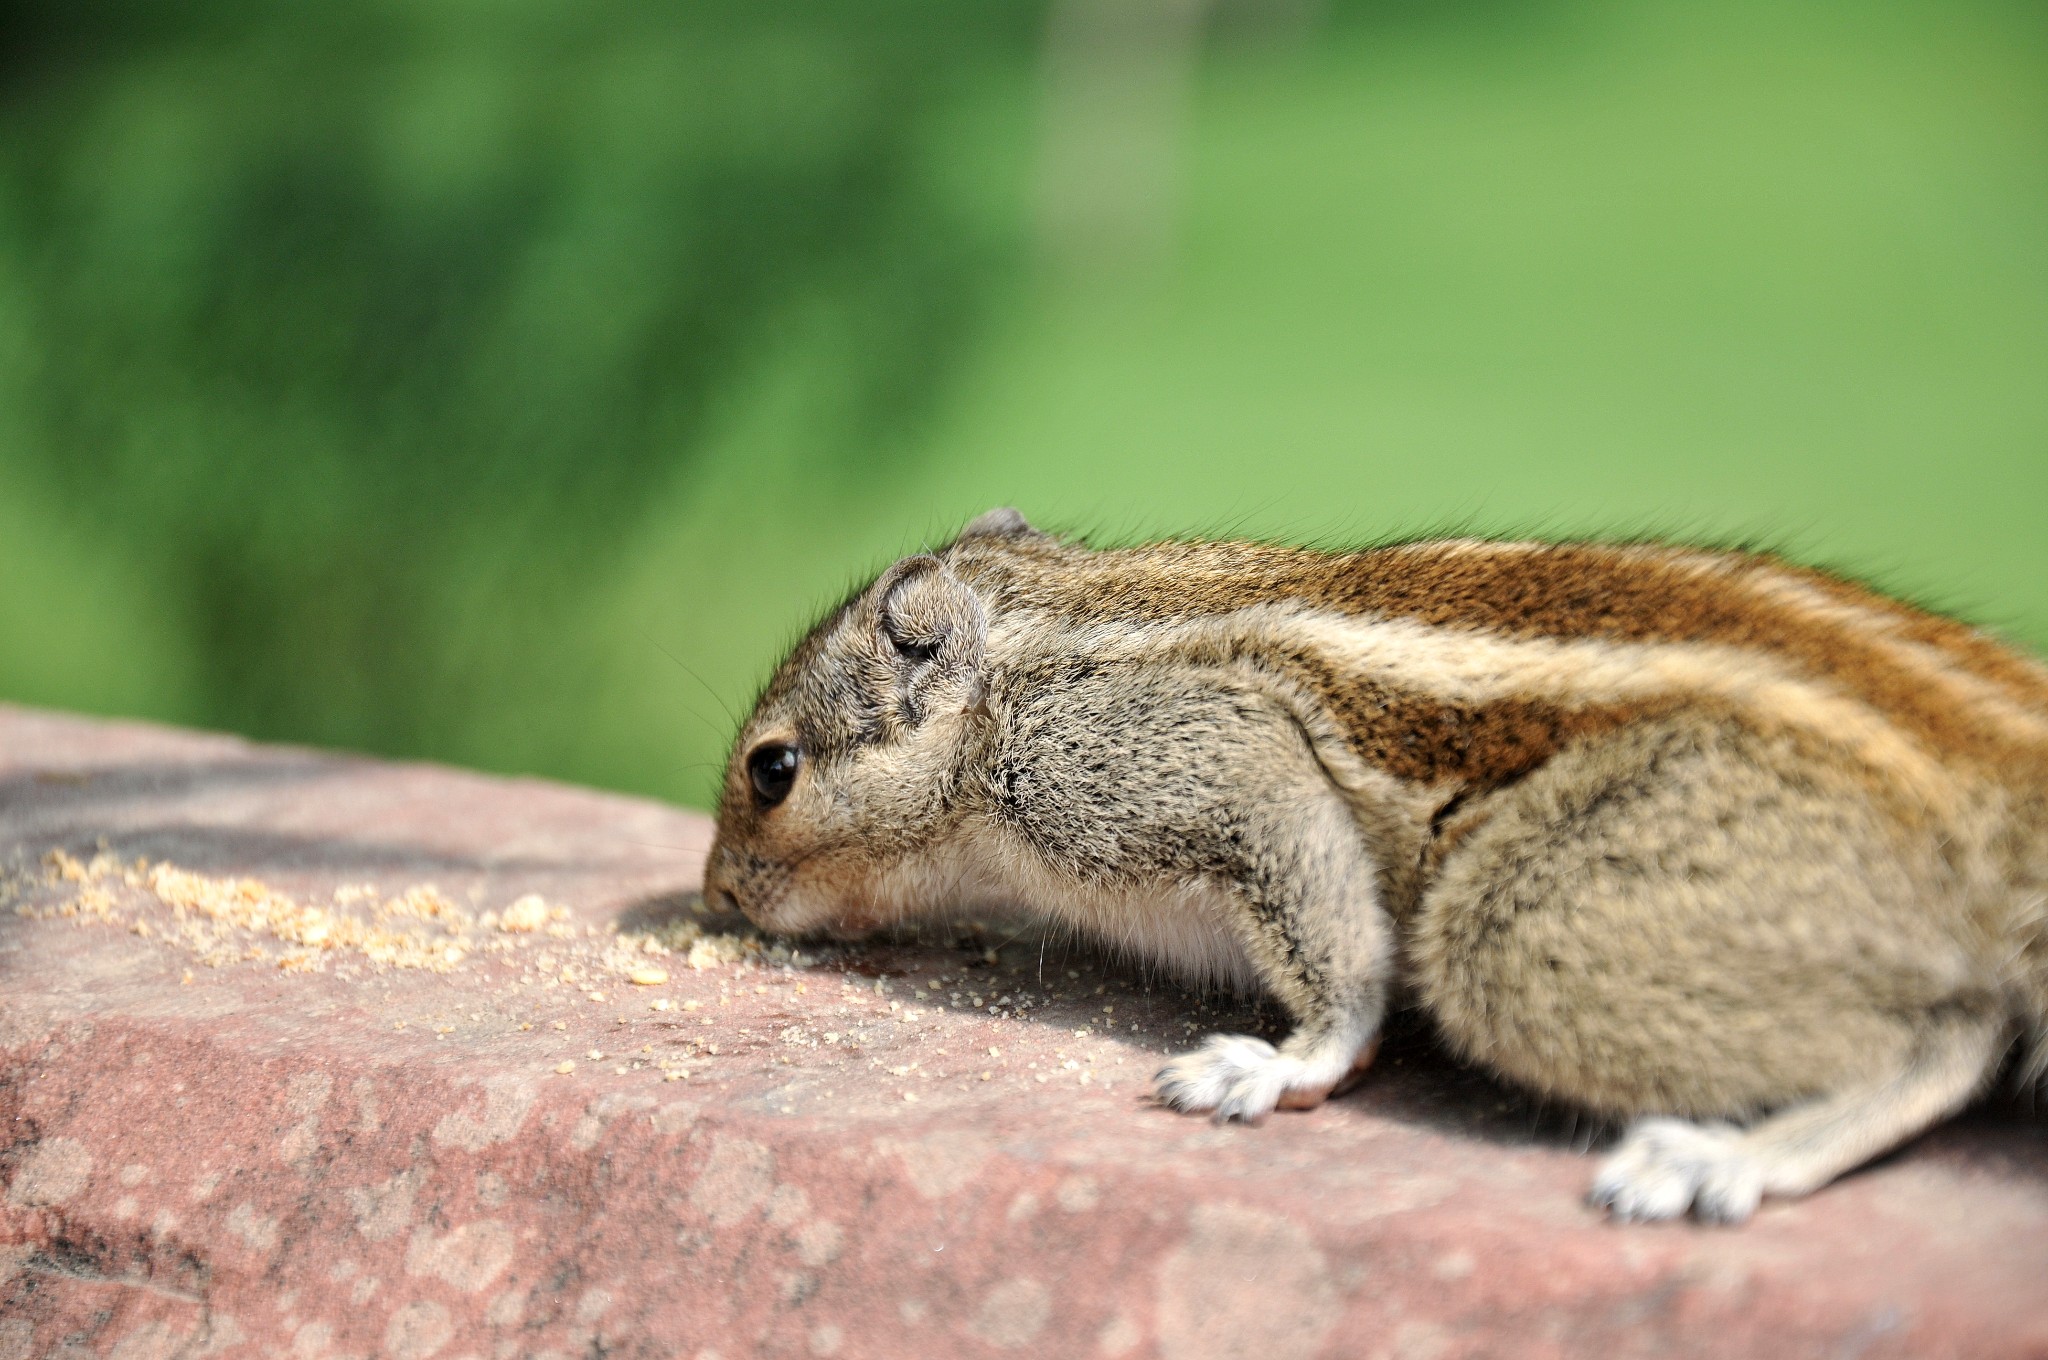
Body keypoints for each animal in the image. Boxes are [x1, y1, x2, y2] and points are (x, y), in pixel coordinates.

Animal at [700, 507, 2048, 1220]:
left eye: (772, 770)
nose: (715, 896)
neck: (1030, 653)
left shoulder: (1179, 759)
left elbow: (1335, 958)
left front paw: (1278, 1065)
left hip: (1529, 933)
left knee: (1947, 1041)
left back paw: (1722, 1158)